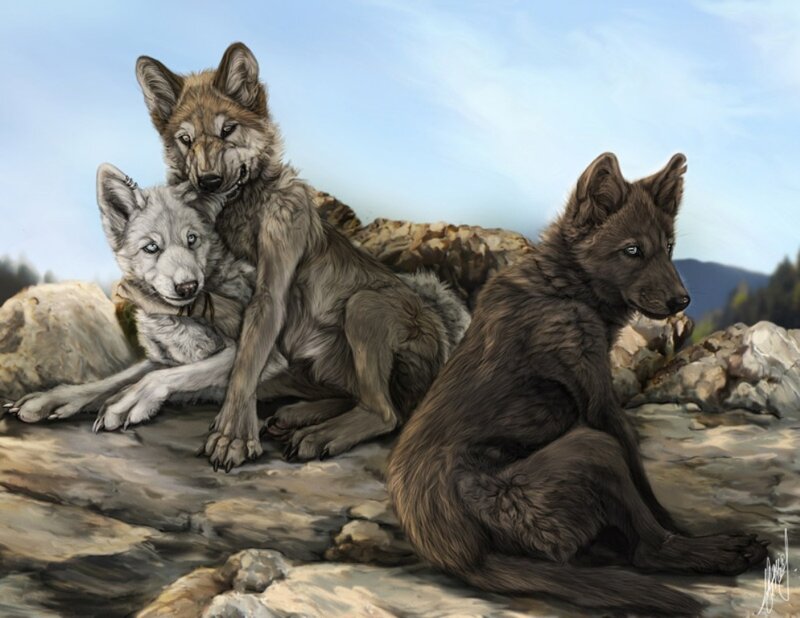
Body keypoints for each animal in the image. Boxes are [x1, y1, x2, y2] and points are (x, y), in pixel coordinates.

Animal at [8, 165, 468, 448]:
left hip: (363, 306)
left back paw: (318, 435)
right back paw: (299, 415)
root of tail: (447, 326)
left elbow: (161, 380)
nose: (188, 286)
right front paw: (51, 400)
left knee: (389, 412)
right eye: (151, 247)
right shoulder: (160, 357)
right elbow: (106, 381)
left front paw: (128, 405)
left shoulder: (260, 357)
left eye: (193, 240)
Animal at [134, 42, 470, 470]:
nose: (208, 182)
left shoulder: (269, 297)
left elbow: (244, 368)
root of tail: (443, 347)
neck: (242, 213)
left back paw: (318, 435)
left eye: (228, 130)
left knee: (385, 412)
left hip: (364, 305)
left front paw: (231, 437)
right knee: (361, 399)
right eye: (186, 140)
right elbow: (216, 320)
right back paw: (298, 416)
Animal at [386, 153, 769, 615]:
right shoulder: (600, 403)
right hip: (590, 450)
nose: (683, 301)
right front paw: (680, 528)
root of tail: (459, 555)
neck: (564, 287)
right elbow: (643, 483)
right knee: (647, 550)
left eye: (668, 248)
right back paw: (715, 551)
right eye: (632, 250)